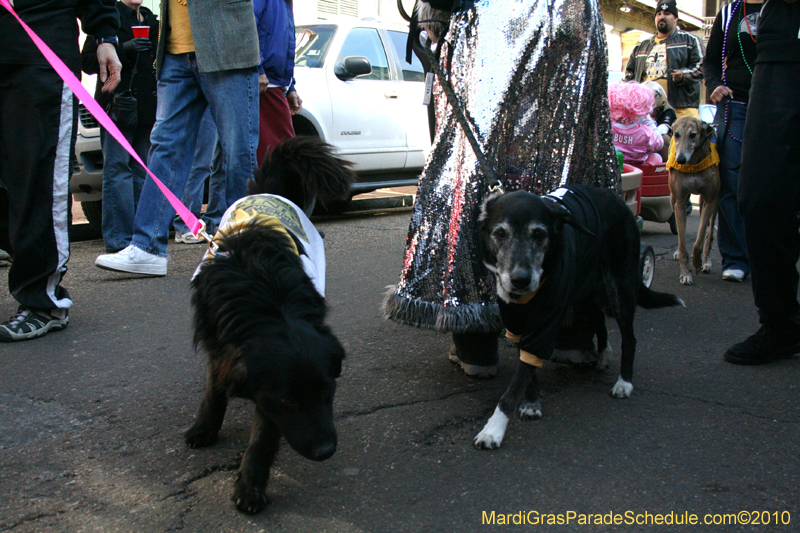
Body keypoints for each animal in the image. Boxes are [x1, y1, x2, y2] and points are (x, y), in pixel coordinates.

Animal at [186, 136, 354, 512]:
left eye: (327, 392)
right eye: (288, 401)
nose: (326, 451)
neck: (268, 301)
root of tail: (267, 192)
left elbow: (262, 438)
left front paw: (250, 485)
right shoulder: (220, 347)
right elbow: (214, 391)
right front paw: (204, 428)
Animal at [668, 115, 720, 282]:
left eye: (693, 135)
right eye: (676, 134)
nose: (680, 160)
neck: (693, 163)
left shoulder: (710, 199)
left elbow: (700, 238)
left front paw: (696, 262)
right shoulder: (679, 200)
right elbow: (682, 242)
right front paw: (685, 273)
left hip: (713, 203)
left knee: (709, 234)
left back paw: (706, 261)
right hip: (673, 199)